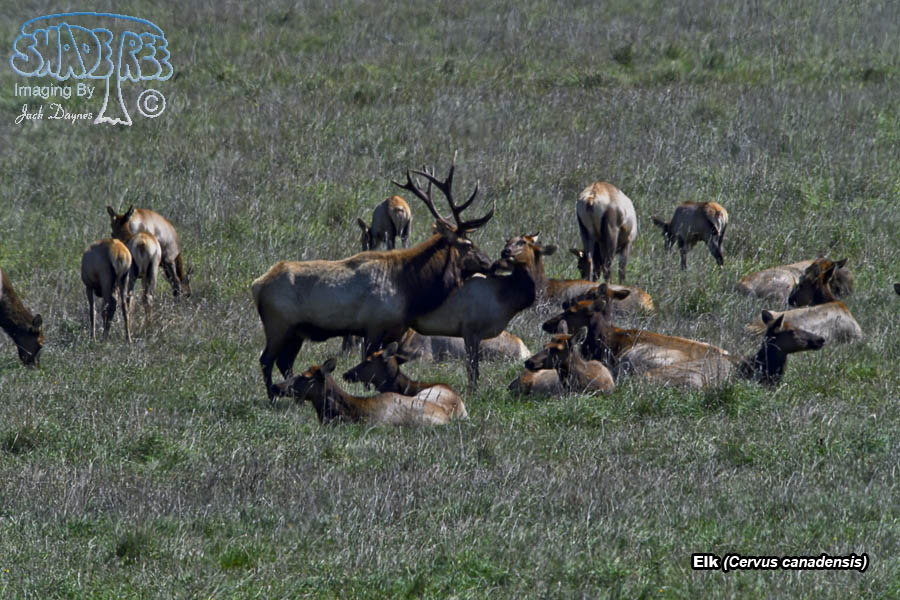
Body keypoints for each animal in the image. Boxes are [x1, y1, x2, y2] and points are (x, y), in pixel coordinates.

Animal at [252, 163, 494, 401]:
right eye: (469, 244)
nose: (490, 263)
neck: (409, 288)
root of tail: (257, 285)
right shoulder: (373, 326)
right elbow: (367, 364)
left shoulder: (392, 331)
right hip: (278, 324)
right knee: (266, 360)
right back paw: (273, 399)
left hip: (297, 331)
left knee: (284, 362)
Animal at [407, 234, 557, 390]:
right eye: (508, 242)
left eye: (523, 242)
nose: (505, 252)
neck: (505, 295)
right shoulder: (470, 330)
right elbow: (472, 369)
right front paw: (473, 392)